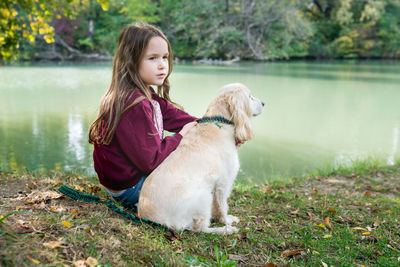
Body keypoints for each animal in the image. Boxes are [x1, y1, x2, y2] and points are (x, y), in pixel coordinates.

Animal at [139, 83, 264, 234]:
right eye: (250, 96)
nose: (264, 103)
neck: (220, 121)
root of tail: (155, 219)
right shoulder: (224, 181)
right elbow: (223, 205)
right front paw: (226, 220)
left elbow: (218, 206)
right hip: (204, 195)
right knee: (200, 228)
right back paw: (225, 230)